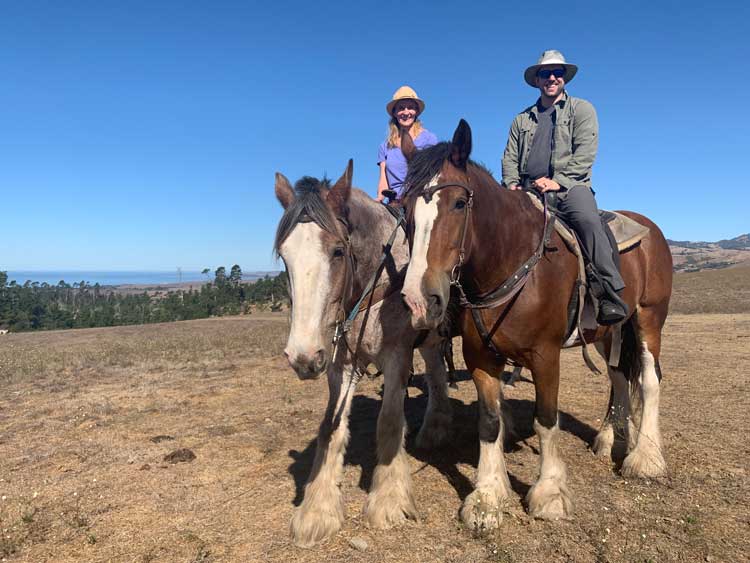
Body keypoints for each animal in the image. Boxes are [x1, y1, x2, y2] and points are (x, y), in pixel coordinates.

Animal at [274, 161, 452, 548]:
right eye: (284, 256)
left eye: (338, 251)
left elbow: (390, 422)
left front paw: (389, 500)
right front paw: (317, 509)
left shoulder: (397, 356)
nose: (302, 356)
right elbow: (330, 427)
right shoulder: (340, 364)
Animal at [402, 121, 672, 532]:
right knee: (618, 377)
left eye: (459, 204)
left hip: (648, 319)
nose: (420, 299)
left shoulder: (545, 356)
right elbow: (489, 421)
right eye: (404, 209)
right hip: (608, 331)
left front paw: (549, 493)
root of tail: (651, 229)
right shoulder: (480, 356)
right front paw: (487, 497)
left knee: (649, 379)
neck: (511, 262)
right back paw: (608, 440)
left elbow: (546, 421)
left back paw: (645, 459)